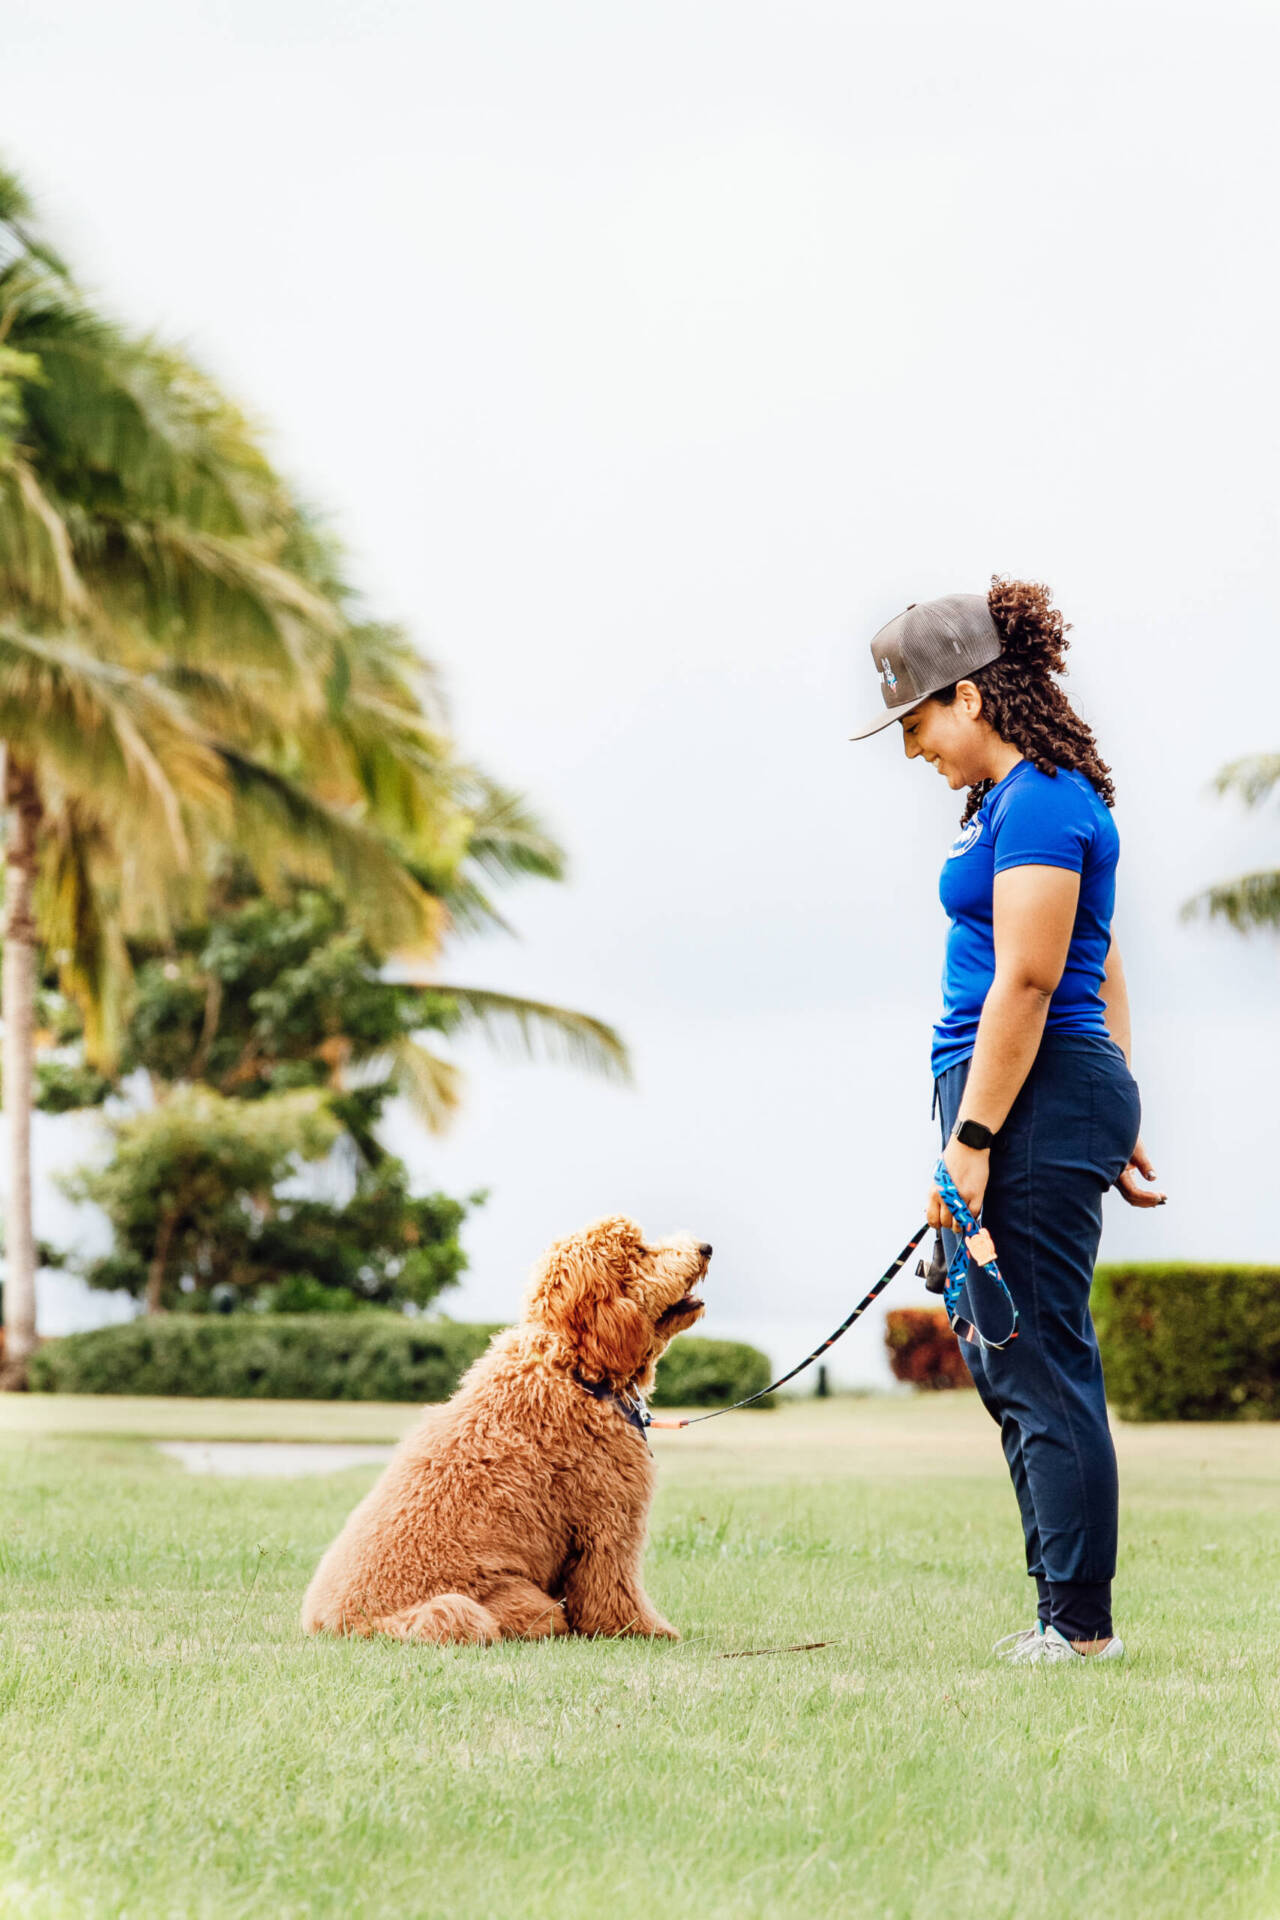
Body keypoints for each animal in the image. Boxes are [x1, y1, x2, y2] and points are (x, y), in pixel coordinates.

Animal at [307, 1221, 717, 1643]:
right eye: (639, 1252)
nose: (706, 1247)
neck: (576, 1369)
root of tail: (356, 1625)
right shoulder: (606, 1520)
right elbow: (615, 1589)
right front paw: (645, 1629)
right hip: (515, 1604)